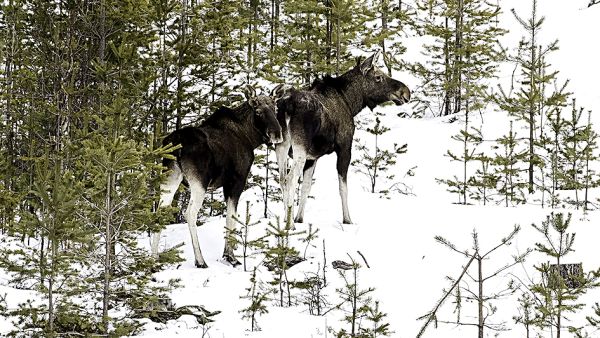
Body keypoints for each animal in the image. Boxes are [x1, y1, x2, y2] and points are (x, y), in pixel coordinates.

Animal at [150, 86, 282, 268]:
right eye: (258, 111)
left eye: (275, 109)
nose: (277, 134)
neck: (249, 137)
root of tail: (176, 146)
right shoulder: (237, 180)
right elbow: (231, 217)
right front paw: (230, 256)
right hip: (199, 183)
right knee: (190, 213)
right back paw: (200, 260)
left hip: (170, 178)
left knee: (160, 211)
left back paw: (154, 258)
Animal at [274, 49, 410, 224]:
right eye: (378, 77)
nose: (406, 92)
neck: (351, 103)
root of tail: (286, 106)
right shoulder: (345, 147)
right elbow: (343, 187)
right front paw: (348, 219)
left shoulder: (313, 157)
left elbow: (306, 187)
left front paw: (299, 218)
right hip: (299, 148)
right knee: (290, 179)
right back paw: (288, 224)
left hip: (281, 146)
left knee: (282, 179)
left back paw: (285, 219)